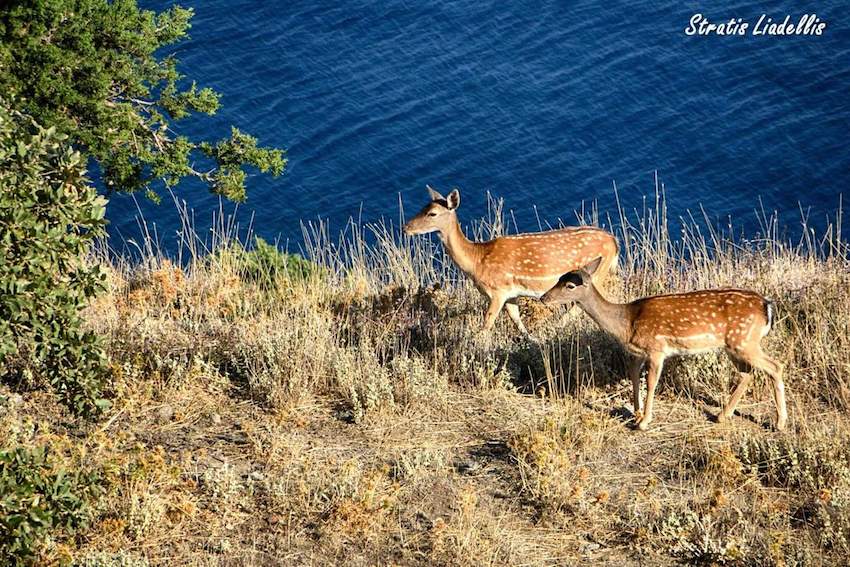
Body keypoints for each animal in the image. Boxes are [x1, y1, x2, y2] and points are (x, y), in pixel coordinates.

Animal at [404, 186, 616, 338]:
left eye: (432, 213)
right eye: (423, 207)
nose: (406, 227)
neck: (476, 261)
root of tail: (614, 243)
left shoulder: (497, 291)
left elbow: (486, 325)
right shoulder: (511, 293)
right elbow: (516, 320)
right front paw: (532, 339)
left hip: (596, 274)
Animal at [540, 258, 784, 430]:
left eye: (570, 285)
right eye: (559, 277)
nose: (544, 297)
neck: (627, 323)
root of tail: (766, 306)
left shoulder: (656, 349)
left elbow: (651, 383)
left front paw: (644, 422)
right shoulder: (638, 352)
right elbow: (633, 375)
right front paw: (636, 413)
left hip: (744, 341)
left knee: (775, 366)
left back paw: (779, 423)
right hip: (734, 345)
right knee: (747, 372)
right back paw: (722, 415)